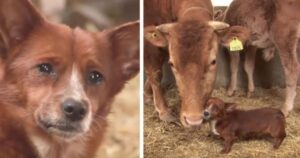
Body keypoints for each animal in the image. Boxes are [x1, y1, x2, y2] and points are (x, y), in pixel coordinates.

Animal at [143, 0, 230, 128]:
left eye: (213, 62)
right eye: (172, 64)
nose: (193, 120)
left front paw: (147, 95)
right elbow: (155, 73)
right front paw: (164, 111)